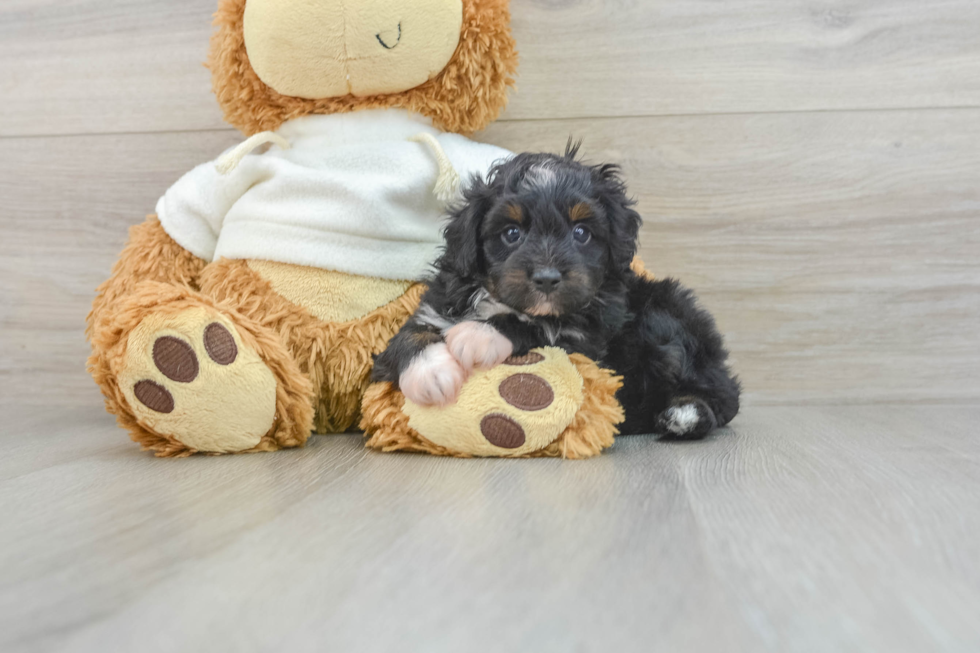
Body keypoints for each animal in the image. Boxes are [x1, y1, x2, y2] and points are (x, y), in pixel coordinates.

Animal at [372, 145, 740, 436]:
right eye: (511, 233)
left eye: (581, 232)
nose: (547, 278)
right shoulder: (438, 304)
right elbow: (410, 333)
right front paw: (430, 372)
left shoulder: (587, 339)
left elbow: (542, 325)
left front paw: (480, 334)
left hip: (664, 321)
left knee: (723, 394)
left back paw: (684, 414)